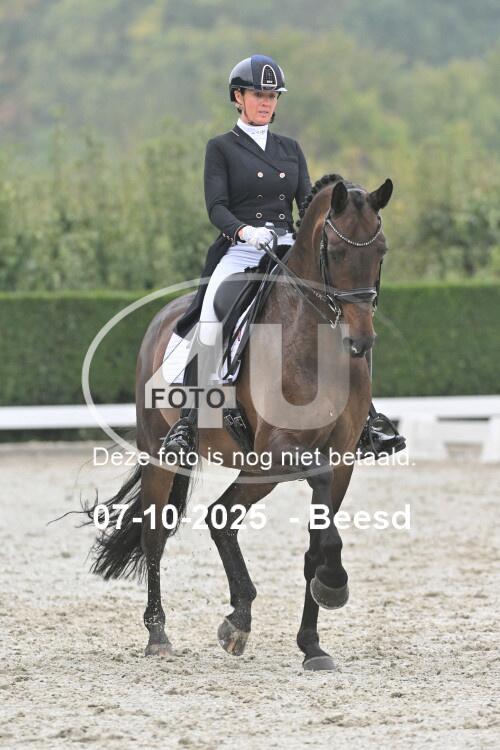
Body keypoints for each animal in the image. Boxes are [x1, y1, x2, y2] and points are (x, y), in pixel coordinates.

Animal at [86, 173, 394, 671]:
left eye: (381, 250)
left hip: (252, 470)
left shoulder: (342, 459)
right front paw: (334, 584)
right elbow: (318, 501)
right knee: (156, 536)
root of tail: (164, 315)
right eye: (335, 250)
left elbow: (314, 545)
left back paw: (239, 618)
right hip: (163, 454)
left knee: (220, 517)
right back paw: (158, 634)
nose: (361, 342)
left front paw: (312, 644)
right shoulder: (280, 449)